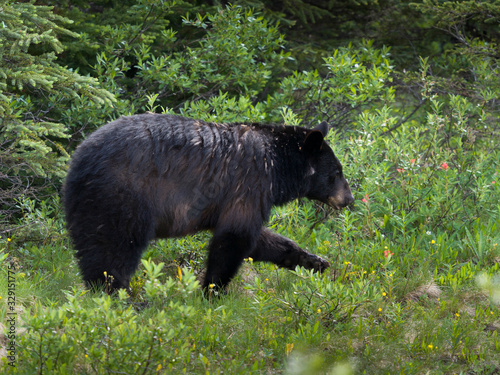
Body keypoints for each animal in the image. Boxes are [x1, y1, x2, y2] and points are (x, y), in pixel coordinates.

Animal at [64, 114, 354, 294]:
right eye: (337, 173)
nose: (349, 199)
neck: (276, 162)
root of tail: (79, 158)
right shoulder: (250, 182)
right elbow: (234, 238)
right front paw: (211, 292)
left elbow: (259, 239)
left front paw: (313, 260)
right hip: (123, 196)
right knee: (114, 250)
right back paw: (118, 296)